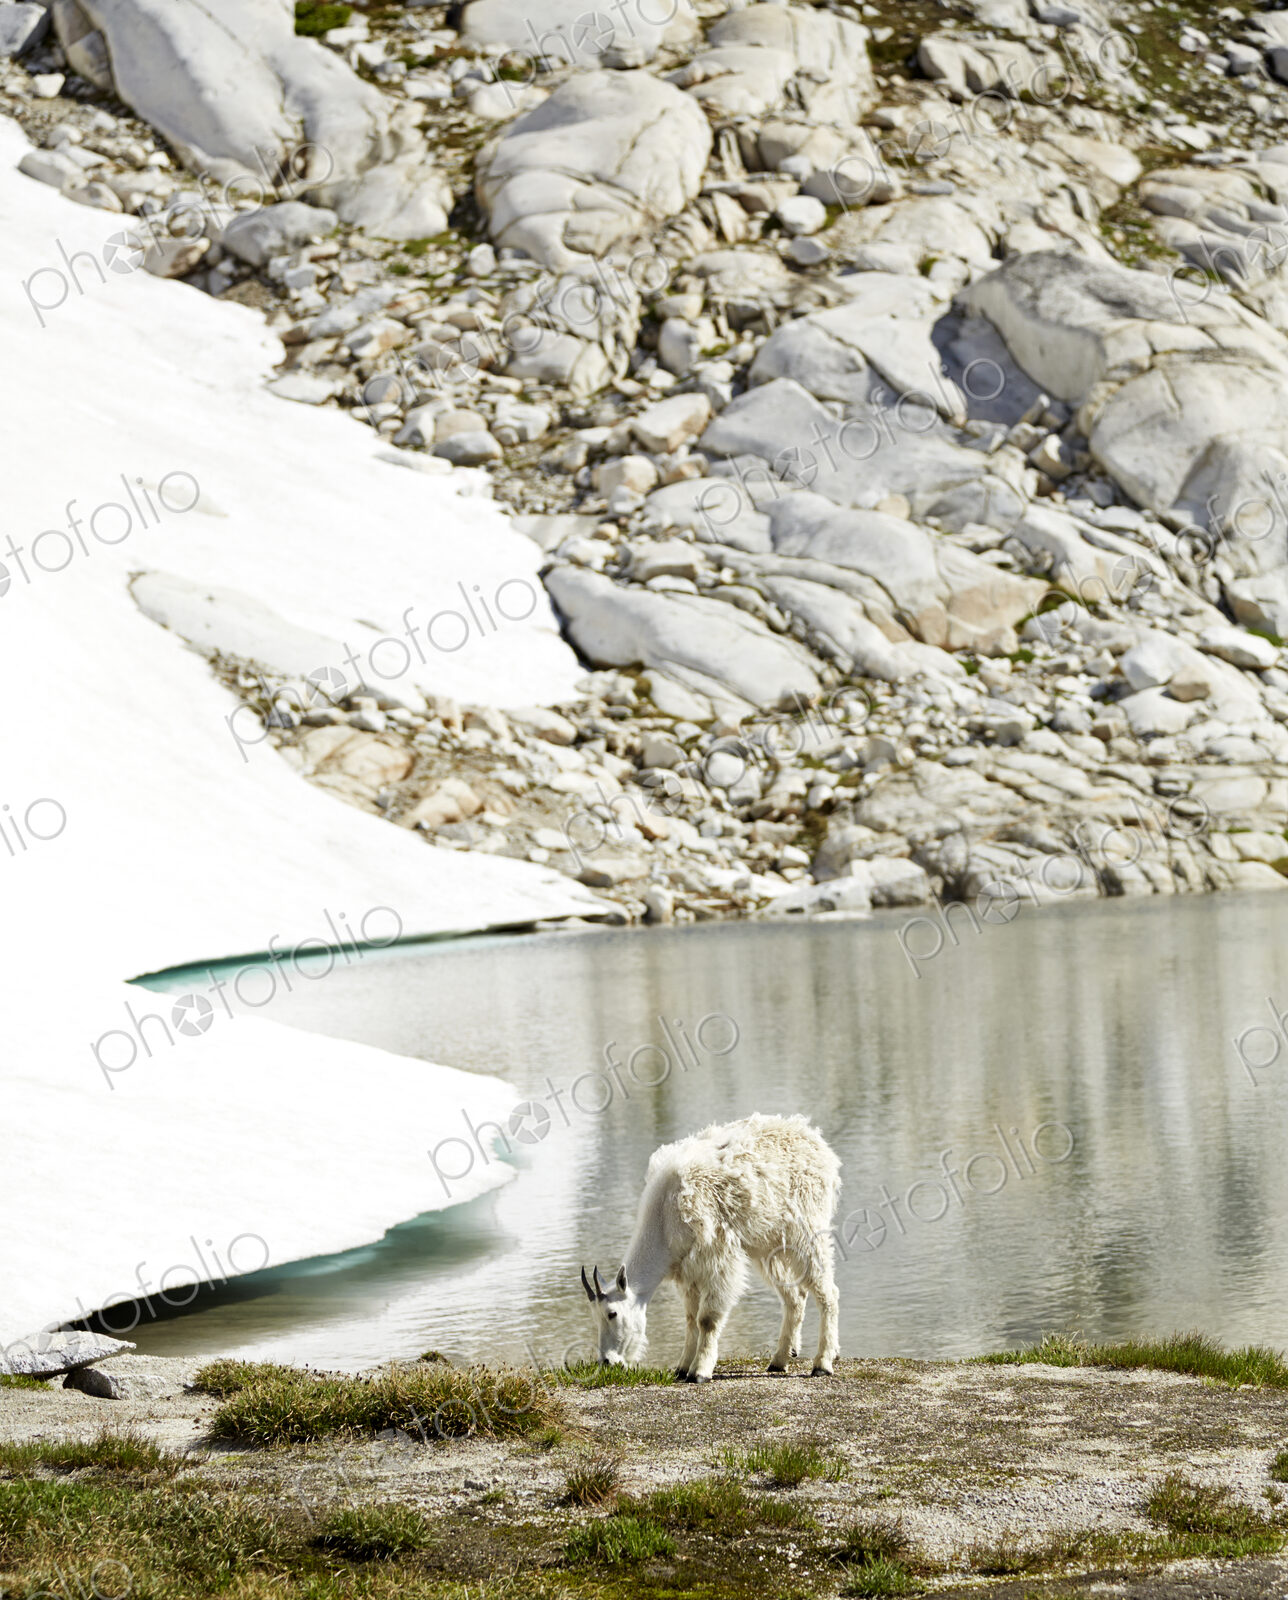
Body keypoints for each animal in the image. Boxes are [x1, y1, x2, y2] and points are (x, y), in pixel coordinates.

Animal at [580, 1113, 841, 1382]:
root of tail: (815, 1140)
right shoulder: (688, 1270)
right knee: (795, 1297)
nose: (607, 1361)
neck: (664, 1217)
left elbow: (707, 1319)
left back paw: (822, 1362)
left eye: (612, 1313)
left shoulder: (717, 1256)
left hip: (807, 1229)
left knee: (828, 1292)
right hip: (769, 1244)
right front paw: (682, 1367)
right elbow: (690, 1319)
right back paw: (779, 1360)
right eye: (595, 1316)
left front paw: (700, 1371)